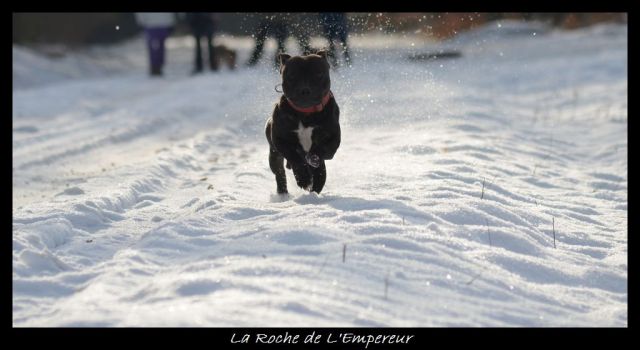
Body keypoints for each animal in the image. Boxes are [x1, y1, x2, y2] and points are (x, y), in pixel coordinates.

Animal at [266, 51, 342, 194]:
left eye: (318, 74)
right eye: (292, 75)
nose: (305, 89)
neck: (306, 113)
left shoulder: (332, 139)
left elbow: (320, 152)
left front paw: (313, 159)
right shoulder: (280, 139)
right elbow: (294, 157)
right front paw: (303, 178)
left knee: (319, 173)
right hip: (274, 155)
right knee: (279, 172)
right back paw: (284, 192)